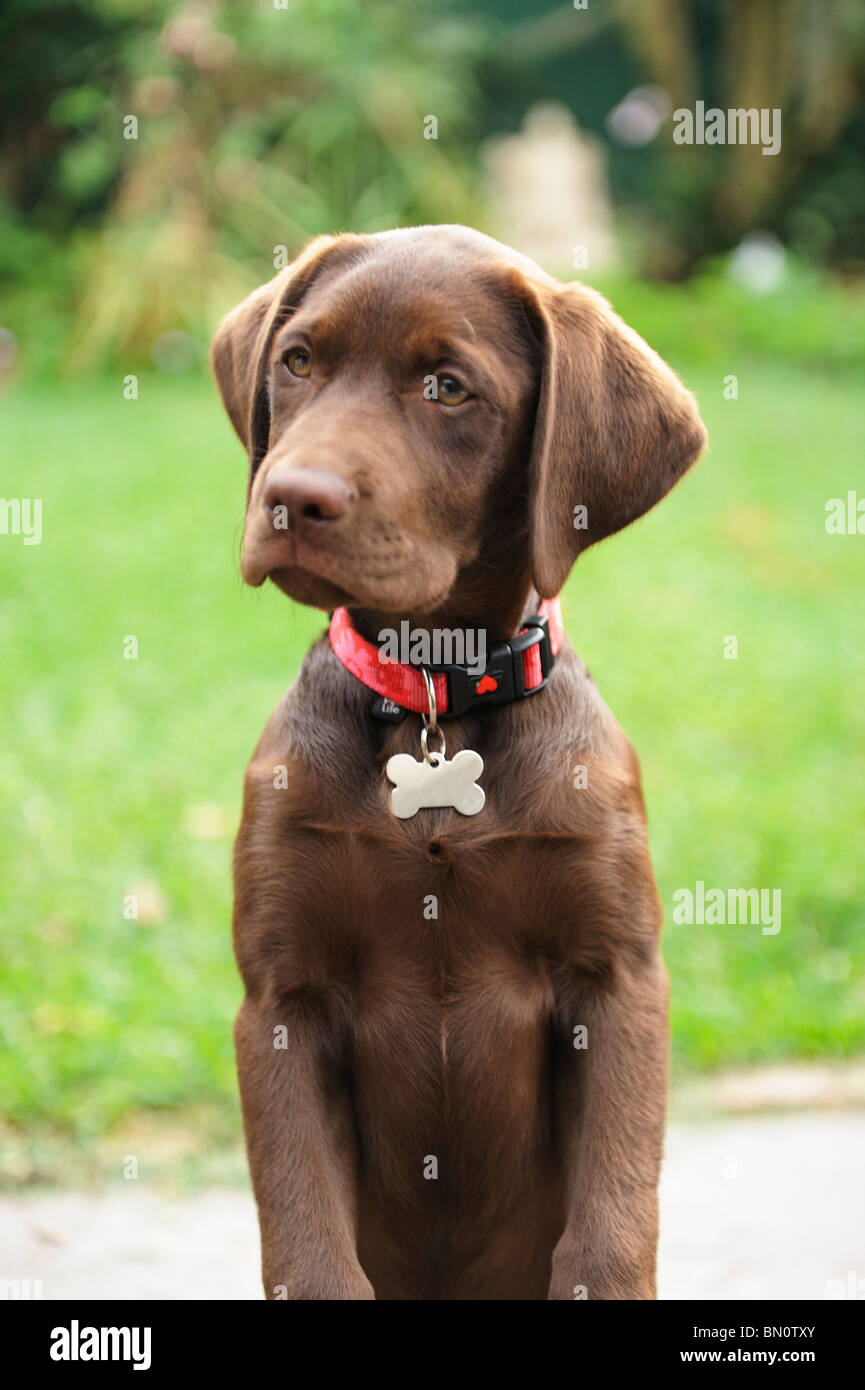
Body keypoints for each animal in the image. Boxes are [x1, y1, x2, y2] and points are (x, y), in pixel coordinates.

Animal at [214, 227, 709, 1301]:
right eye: (298, 361)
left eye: (447, 387)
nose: (289, 498)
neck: (435, 702)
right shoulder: (282, 999)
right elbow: (309, 1249)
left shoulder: (615, 980)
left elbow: (608, 1237)